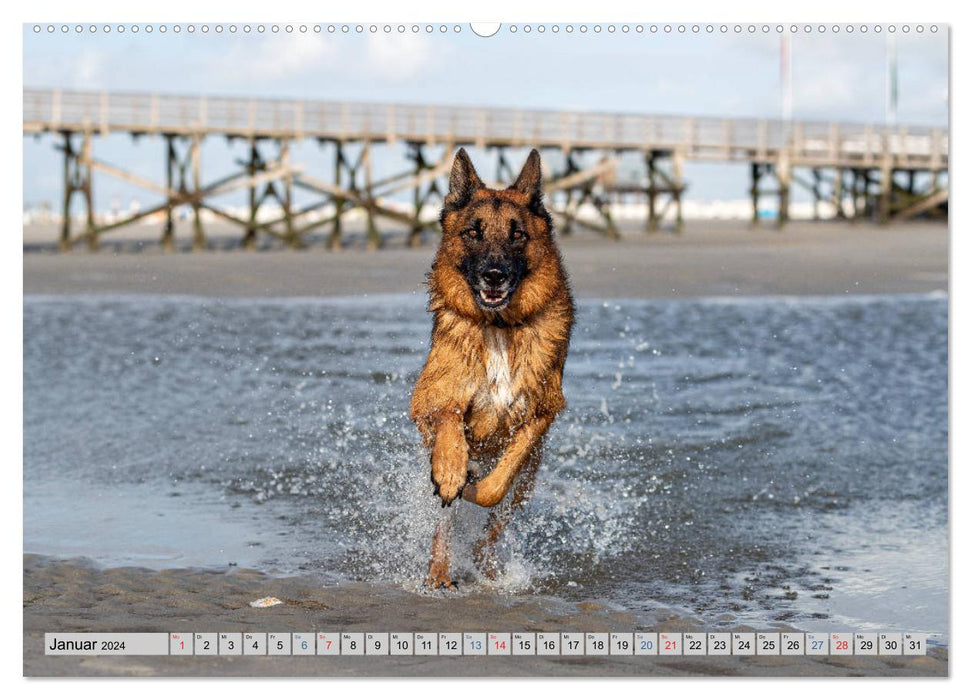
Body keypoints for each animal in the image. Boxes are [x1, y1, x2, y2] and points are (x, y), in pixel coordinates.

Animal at [408, 149, 572, 592]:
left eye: (517, 235)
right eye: (473, 233)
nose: (494, 275)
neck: (497, 326)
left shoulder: (541, 413)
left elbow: (496, 485)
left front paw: (472, 484)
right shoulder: (428, 399)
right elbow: (449, 416)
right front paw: (452, 469)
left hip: (526, 486)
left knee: (495, 527)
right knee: (442, 530)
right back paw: (439, 574)